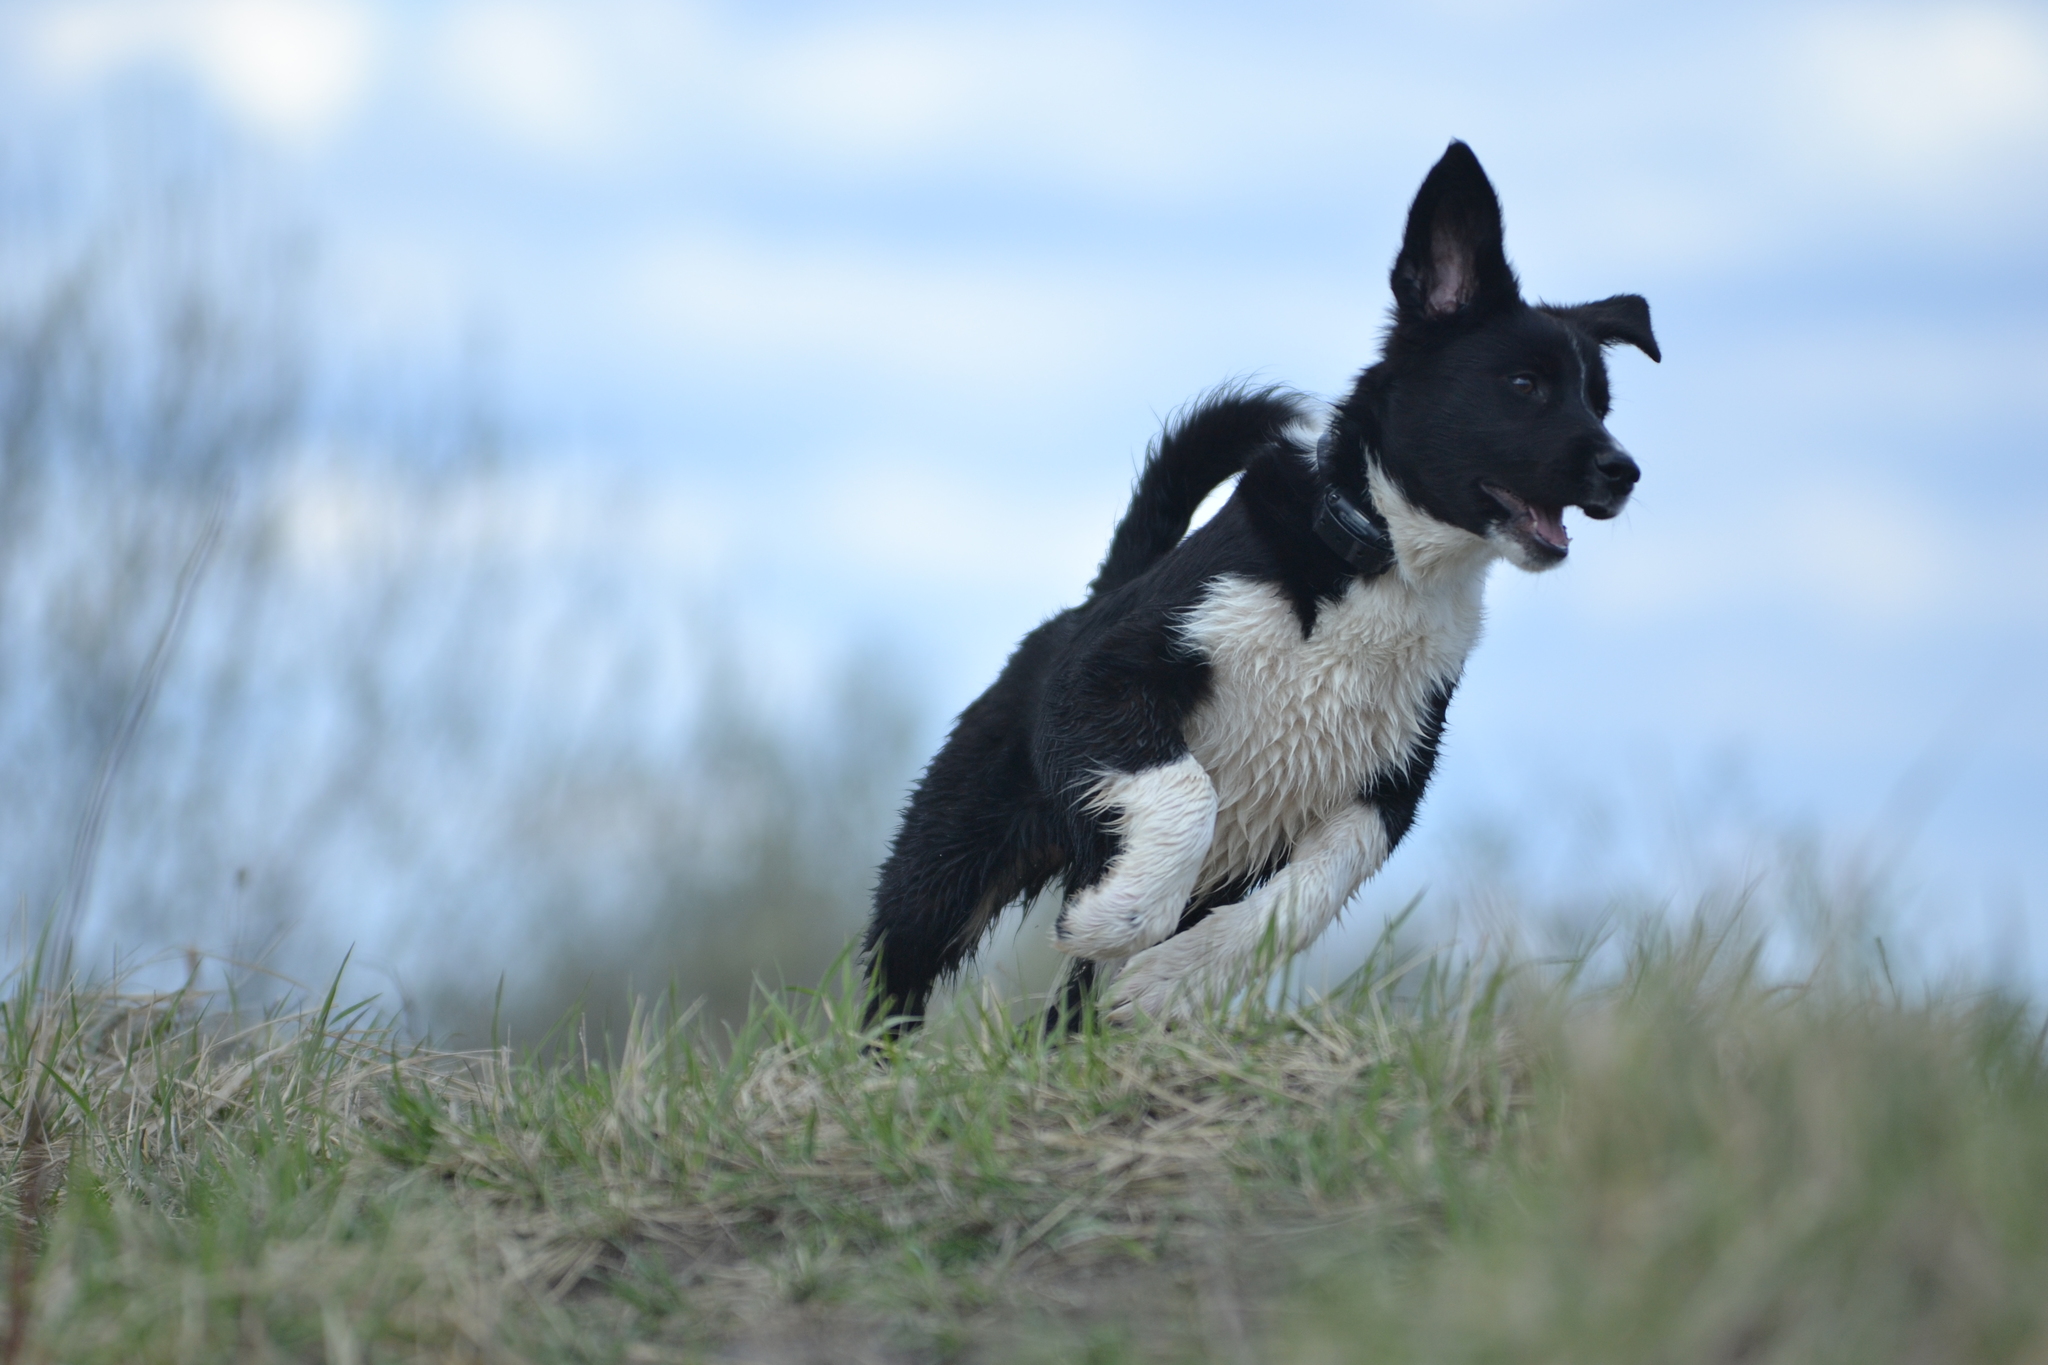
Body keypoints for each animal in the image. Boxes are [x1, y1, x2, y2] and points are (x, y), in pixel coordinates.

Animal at [856, 144, 1654, 1031]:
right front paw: (1120, 911)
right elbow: (1189, 794)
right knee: (894, 986)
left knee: (1070, 1011)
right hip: (950, 859)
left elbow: (1302, 900)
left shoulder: (1387, 790)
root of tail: (1093, 596)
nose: (1623, 471)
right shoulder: (1106, 682)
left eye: (1601, 400)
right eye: (1523, 385)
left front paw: (1170, 981)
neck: (1378, 564)